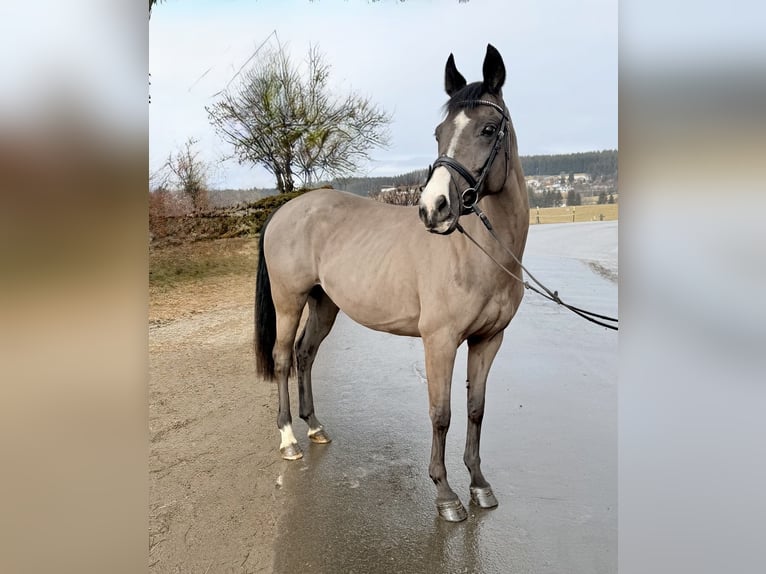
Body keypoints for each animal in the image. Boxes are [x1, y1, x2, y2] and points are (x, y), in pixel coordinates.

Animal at [254, 44, 529, 522]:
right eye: (439, 132)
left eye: (488, 128)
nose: (433, 209)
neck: (482, 252)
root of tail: (285, 210)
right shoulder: (439, 341)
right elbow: (442, 413)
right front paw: (446, 494)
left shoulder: (488, 340)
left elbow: (476, 410)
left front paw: (479, 485)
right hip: (290, 301)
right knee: (284, 358)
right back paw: (288, 439)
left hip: (324, 303)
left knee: (306, 354)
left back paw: (316, 427)